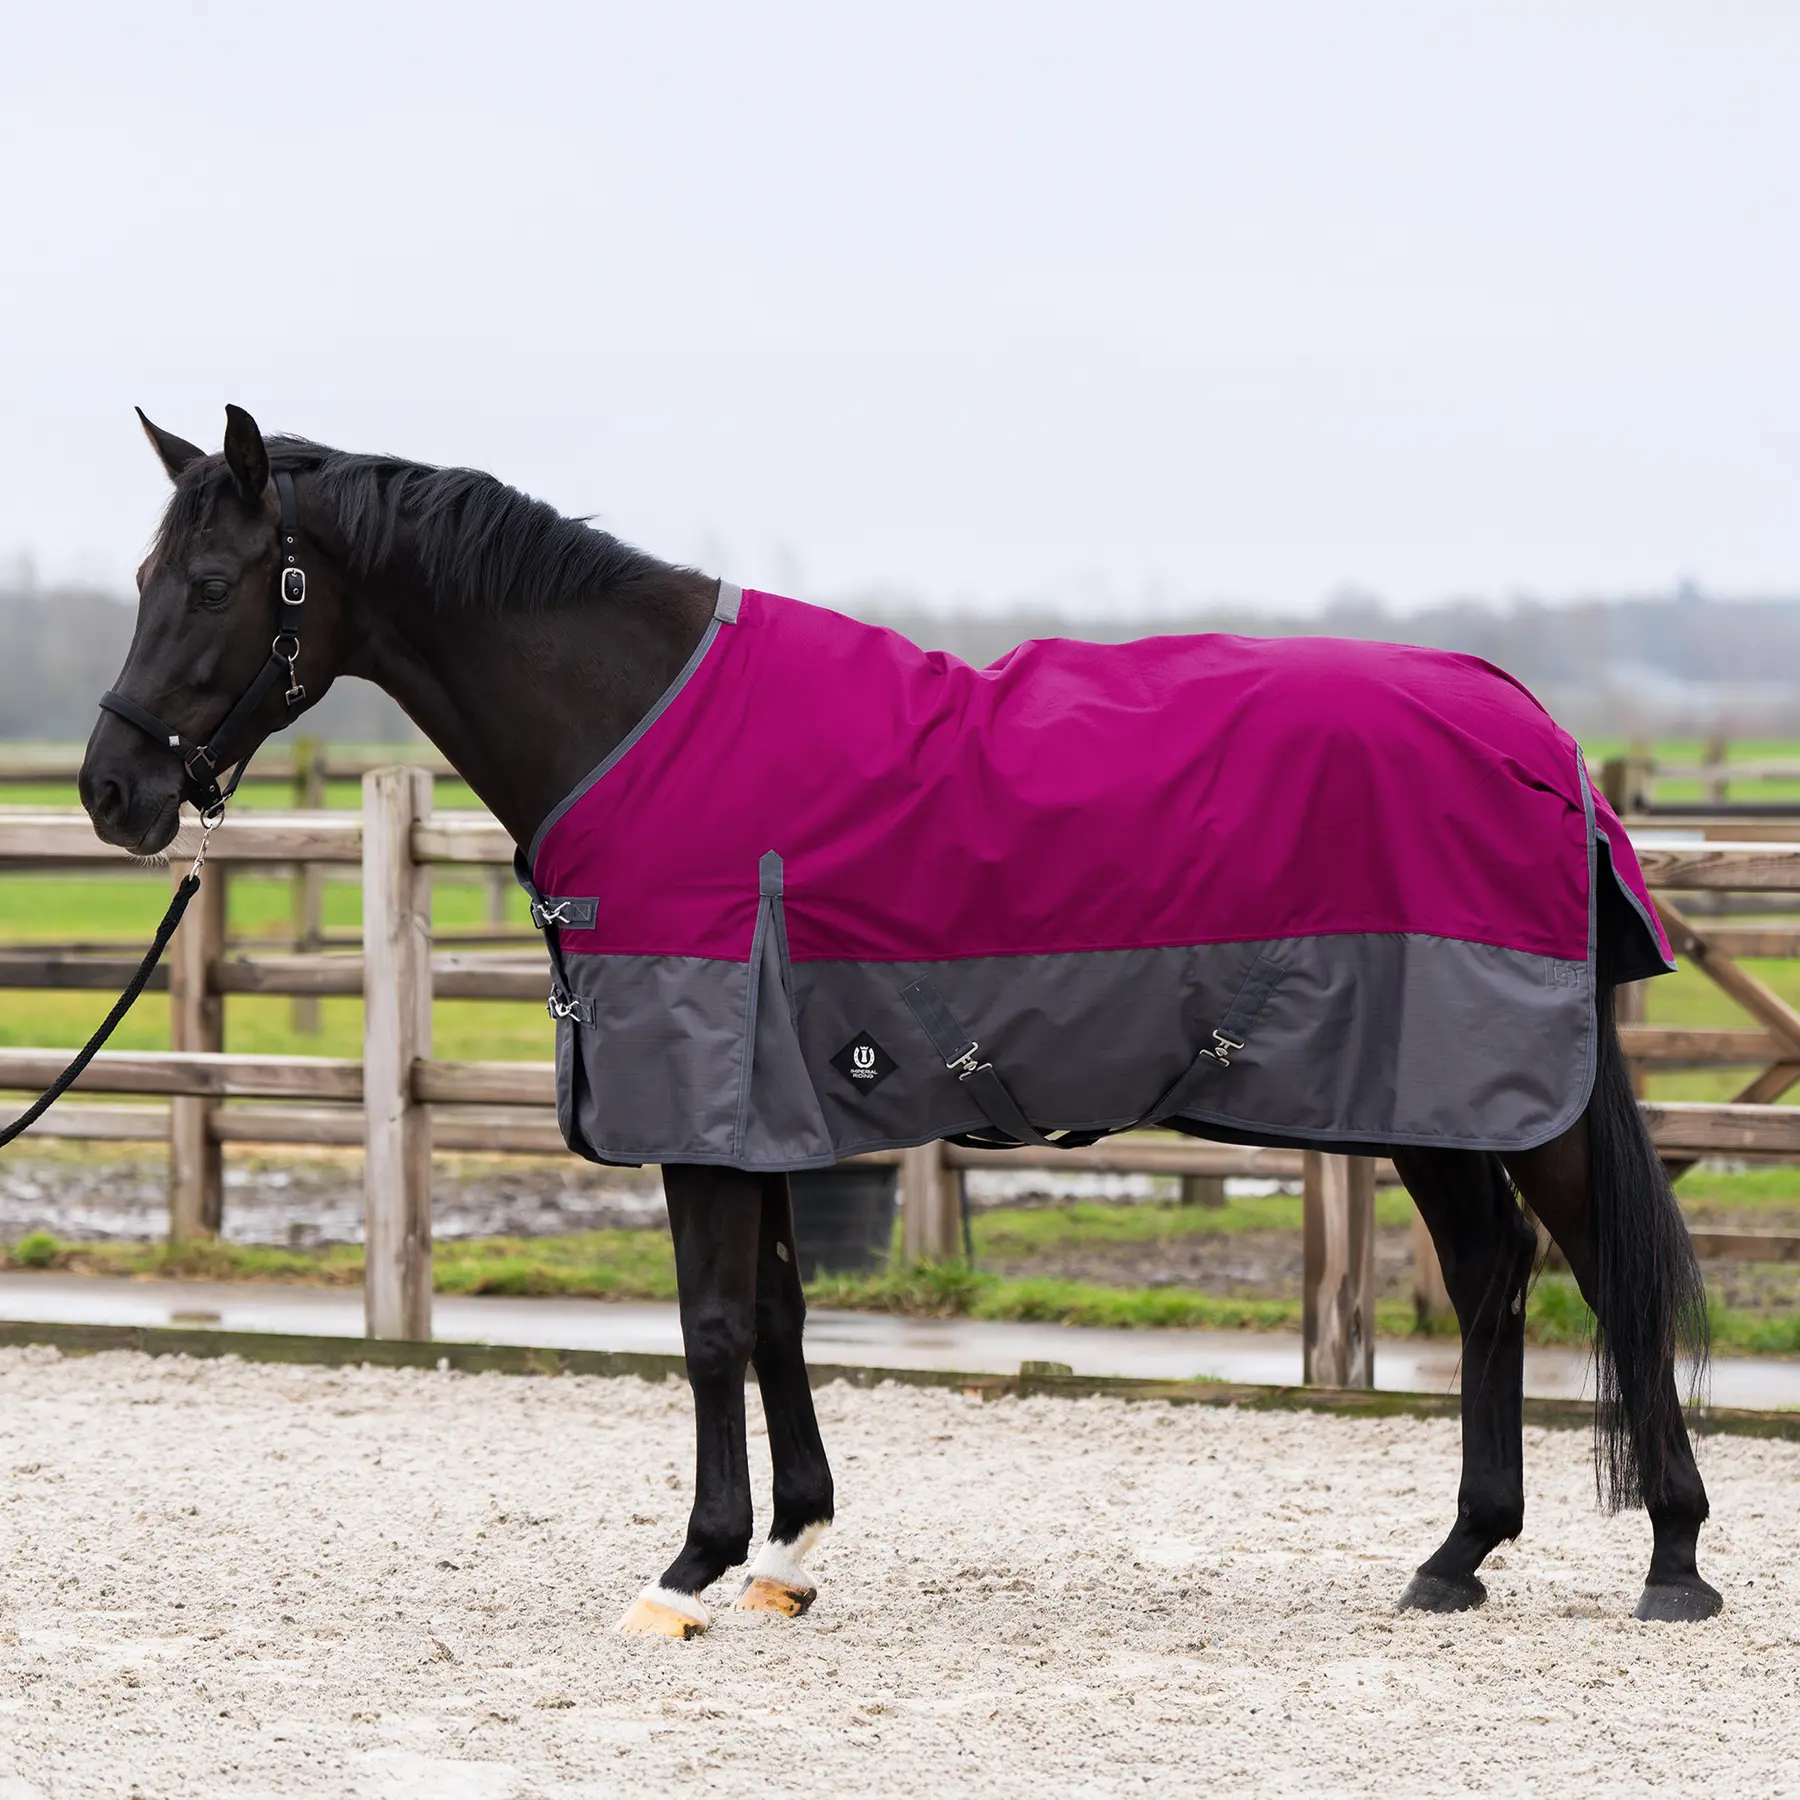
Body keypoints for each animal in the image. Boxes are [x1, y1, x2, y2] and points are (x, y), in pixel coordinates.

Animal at [77, 405, 1719, 1635]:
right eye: (145, 577)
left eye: (215, 585)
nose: (114, 791)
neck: (636, 720)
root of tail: (1530, 726)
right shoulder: (766, 1105)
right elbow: (781, 1314)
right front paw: (790, 1553)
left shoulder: (707, 1099)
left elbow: (713, 1325)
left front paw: (692, 1566)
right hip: (1432, 1094)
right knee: (1496, 1272)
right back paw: (1459, 1558)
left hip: (1488, 1086)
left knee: (1599, 1271)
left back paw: (1674, 1562)